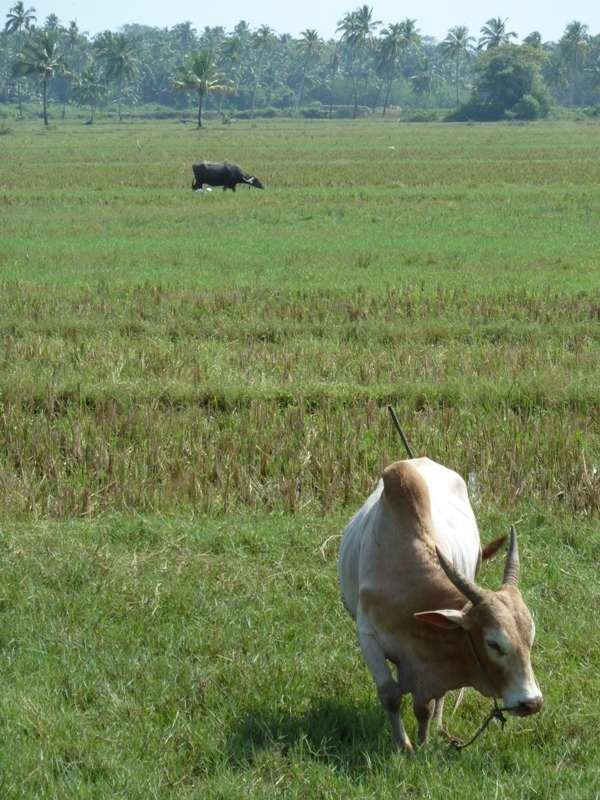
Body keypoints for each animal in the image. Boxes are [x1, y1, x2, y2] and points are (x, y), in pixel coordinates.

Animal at [338, 456, 544, 752]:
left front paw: (423, 741)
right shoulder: (367, 636)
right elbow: (390, 694)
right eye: (493, 643)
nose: (532, 702)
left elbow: (424, 704)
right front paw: (403, 745)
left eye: (530, 639)